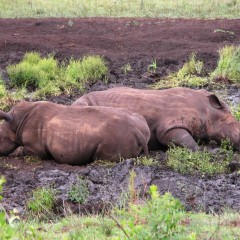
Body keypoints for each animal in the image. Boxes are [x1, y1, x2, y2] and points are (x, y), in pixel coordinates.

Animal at [0, 100, 150, 164]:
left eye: (0, 138)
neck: (15, 122)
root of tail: (137, 131)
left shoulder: (35, 148)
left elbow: (26, 151)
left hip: (115, 137)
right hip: (141, 123)